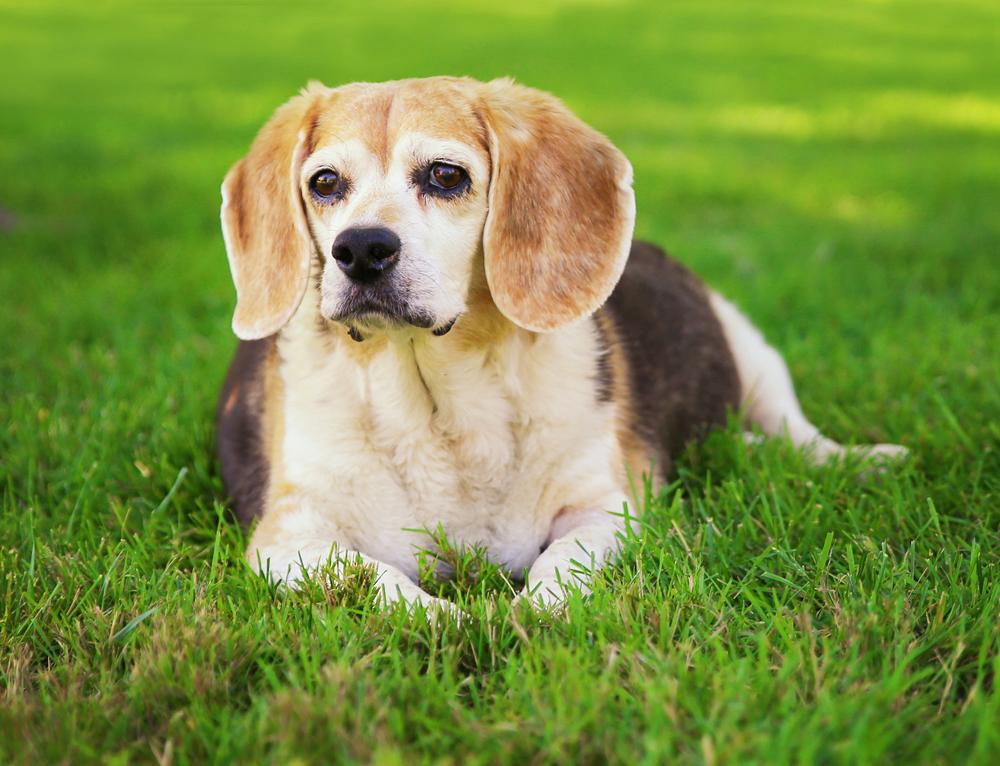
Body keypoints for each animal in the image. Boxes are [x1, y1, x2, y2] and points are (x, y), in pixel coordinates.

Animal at [217, 78, 908, 616]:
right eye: (325, 182)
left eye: (445, 175)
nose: (360, 249)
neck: (437, 404)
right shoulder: (287, 538)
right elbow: (374, 579)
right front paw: (449, 621)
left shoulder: (604, 511)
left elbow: (560, 567)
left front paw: (528, 616)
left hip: (750, 346)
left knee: (798, 435)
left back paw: (861, 458)